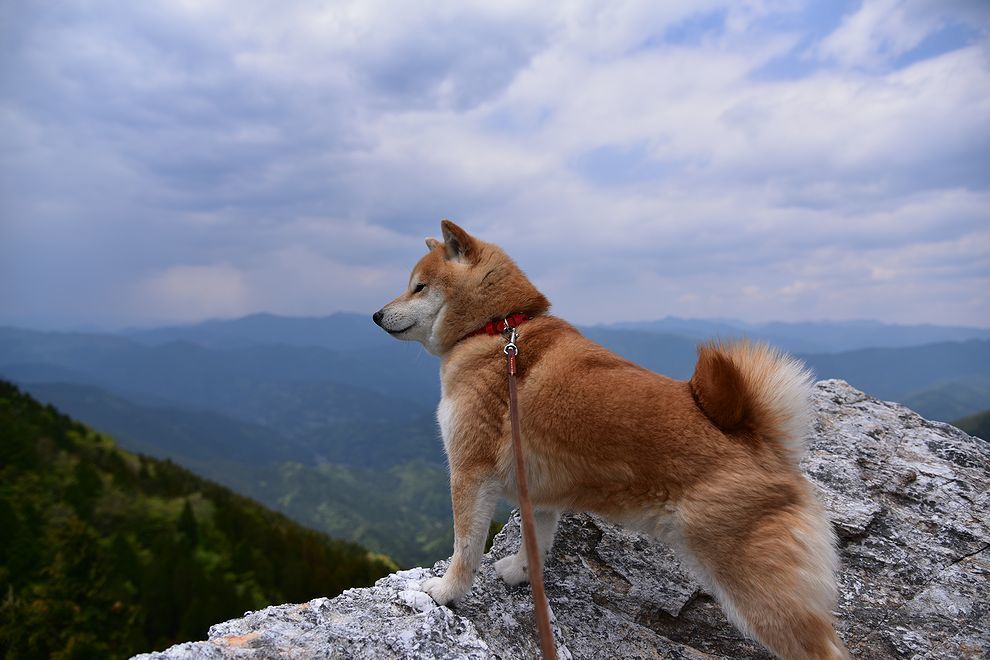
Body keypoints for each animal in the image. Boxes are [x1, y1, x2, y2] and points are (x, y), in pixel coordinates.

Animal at [376, 222, 848, 660]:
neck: (497, 329)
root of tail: (761, 442)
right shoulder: (539, 491)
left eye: (418, 286)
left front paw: (445, 592)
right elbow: (537, 540)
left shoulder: (470, 472)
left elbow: (466, 547)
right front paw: (522, 571)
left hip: (757, 586)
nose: (377, 315)